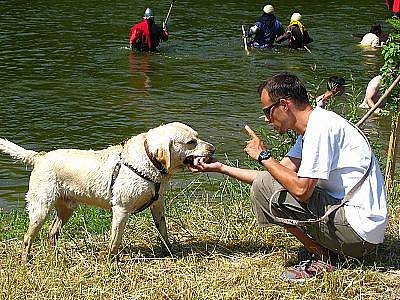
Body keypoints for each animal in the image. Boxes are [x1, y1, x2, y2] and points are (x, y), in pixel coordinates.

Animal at [0, 122, 216, 260]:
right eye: (191, 142)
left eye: (197, 137)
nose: (213, 149)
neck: (147, 161)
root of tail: (40, 157)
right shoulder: (121, 210)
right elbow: (115, 241)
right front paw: (111, 262)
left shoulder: (157, 204)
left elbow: (163, 231)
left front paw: (169, 252)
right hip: (41, 209)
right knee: (28, 239)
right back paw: (25, 261)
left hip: (66, 209)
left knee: (51, 233)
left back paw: (55, 257)